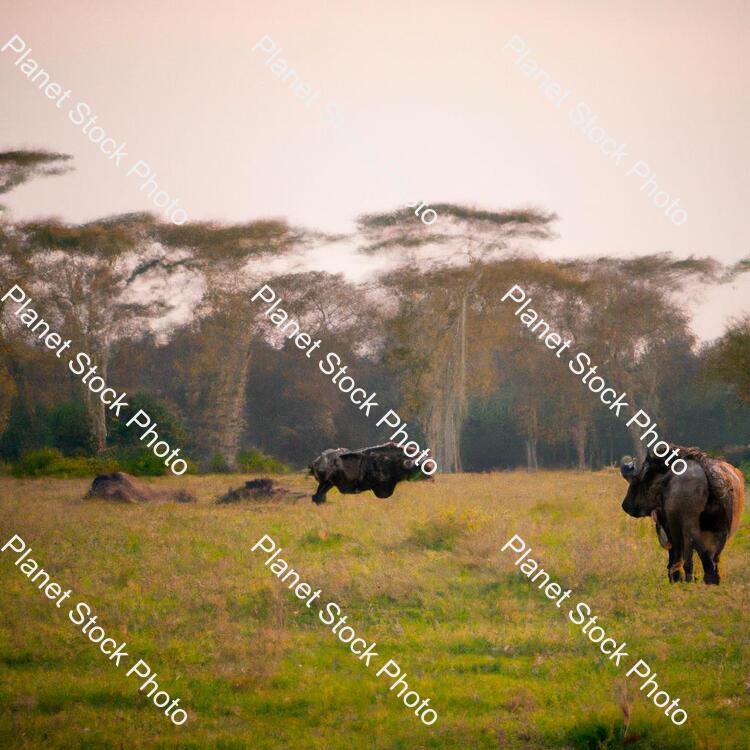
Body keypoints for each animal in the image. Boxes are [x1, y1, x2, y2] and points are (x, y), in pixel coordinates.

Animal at [624, 446, 748, 588]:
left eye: (644, 476)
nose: (626, 505)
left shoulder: (671, 524)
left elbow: (677, 554)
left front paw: (676, 578)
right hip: (720, 531)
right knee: (712, 557)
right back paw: (711, 580)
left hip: (689, 526)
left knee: (696, 554)